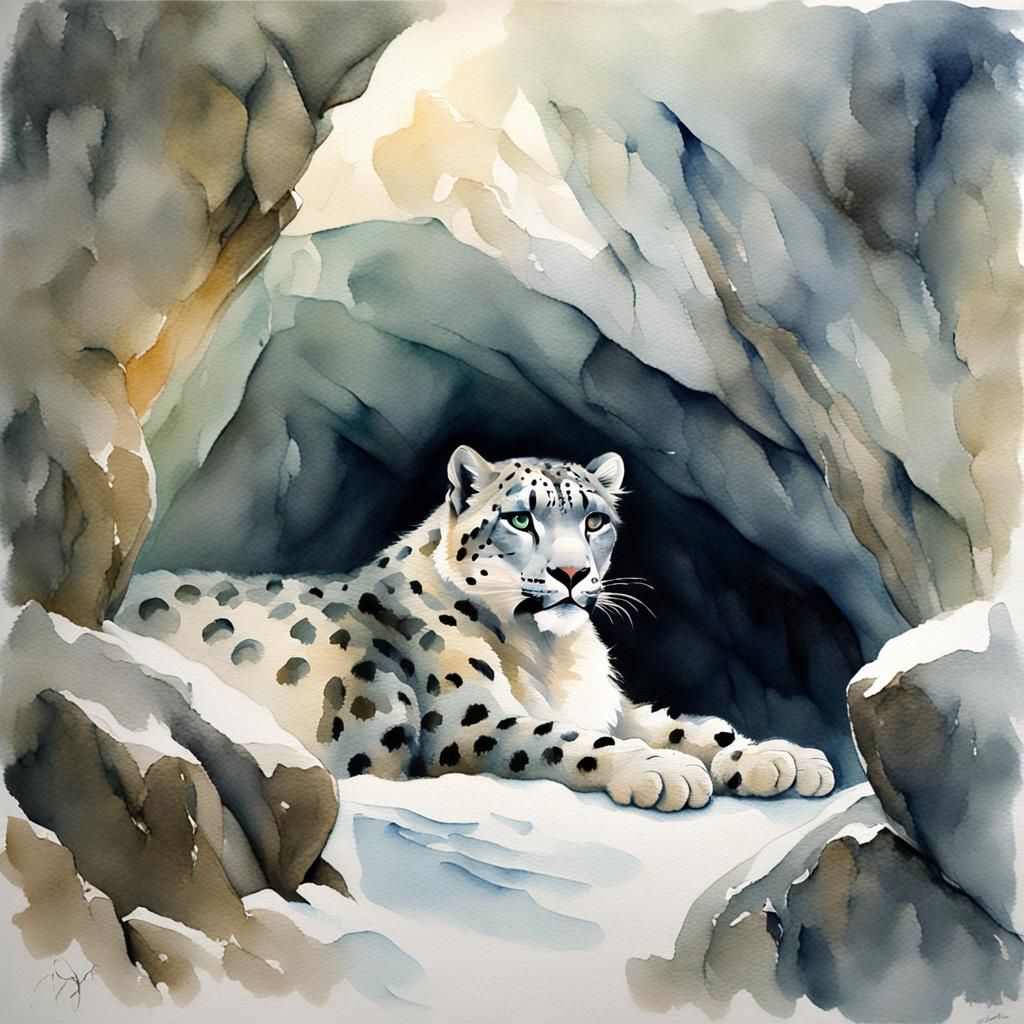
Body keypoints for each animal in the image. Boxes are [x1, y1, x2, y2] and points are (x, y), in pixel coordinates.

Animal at [117, 446, 835, 811]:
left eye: (595, 520)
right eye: (520, 518)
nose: (571, 572)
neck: (550, 656)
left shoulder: (616, 706)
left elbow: (690, 726)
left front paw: (780, 757)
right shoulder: (470, 723)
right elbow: (567, 741)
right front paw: (661, 770)